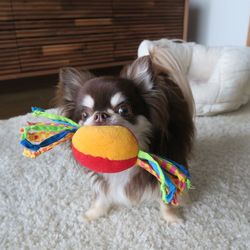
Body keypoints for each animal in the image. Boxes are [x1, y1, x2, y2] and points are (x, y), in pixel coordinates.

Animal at [55, 47, 194, 223]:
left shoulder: (166, 168)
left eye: (123, 110)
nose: (100, 115)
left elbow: (166, 199)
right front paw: (93, 213)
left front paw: (172, 217)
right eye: (85, 115)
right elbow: (102, 194)